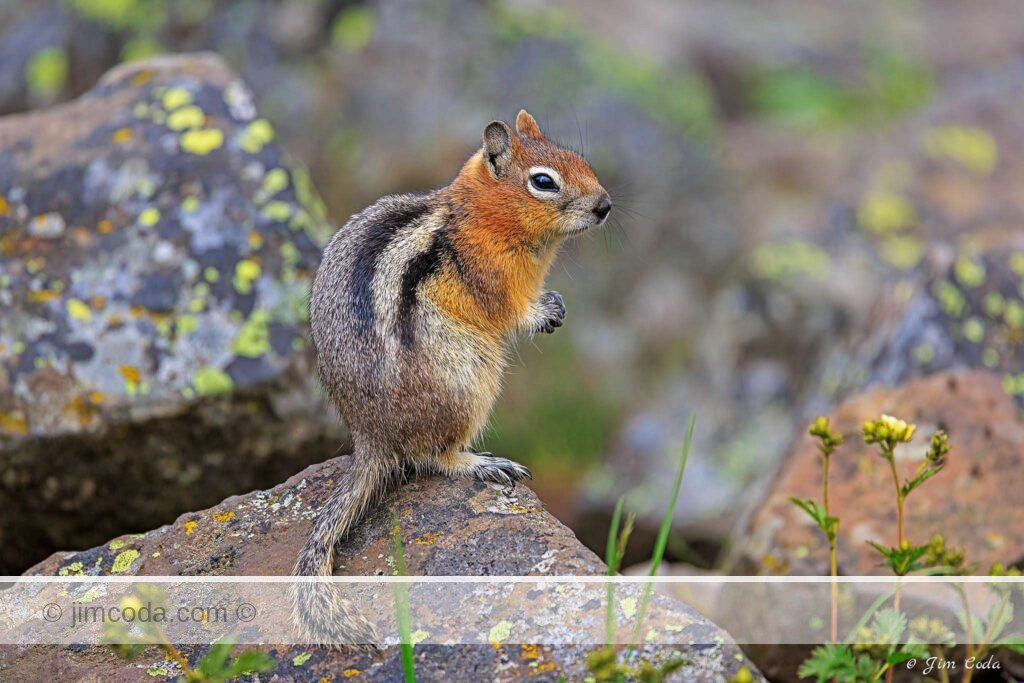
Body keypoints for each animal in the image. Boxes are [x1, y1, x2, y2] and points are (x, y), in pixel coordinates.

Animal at [292, 109, 611, 646]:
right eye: (544, 182)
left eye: (581, 161)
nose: (605, 206)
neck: (481, 217)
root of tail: (371, 438)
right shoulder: (494, 280)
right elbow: (511, 312)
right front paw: (545, 311)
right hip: (470, 375)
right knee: (430, 456)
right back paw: (482, 463)